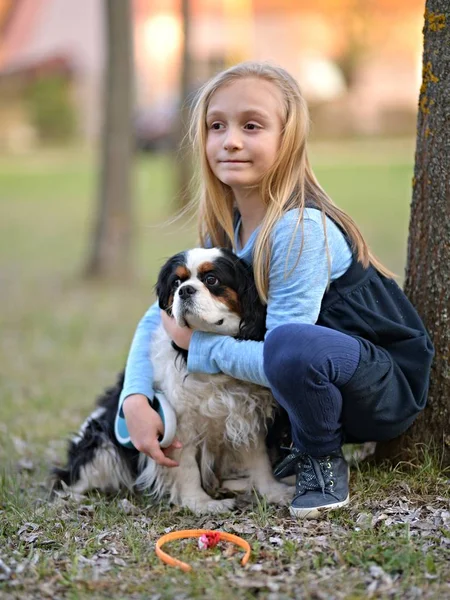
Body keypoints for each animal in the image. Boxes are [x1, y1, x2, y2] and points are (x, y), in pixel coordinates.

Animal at [52, 248, 294, 516]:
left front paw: (272, 491)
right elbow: (186, 466)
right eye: (176, 282)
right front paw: (199, 503)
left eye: (211, 280)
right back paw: (71, 498)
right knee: (70, 477)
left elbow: (258, 458)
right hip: (101, 443)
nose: (185, 290)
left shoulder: (245, 413)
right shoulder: (178, 424)